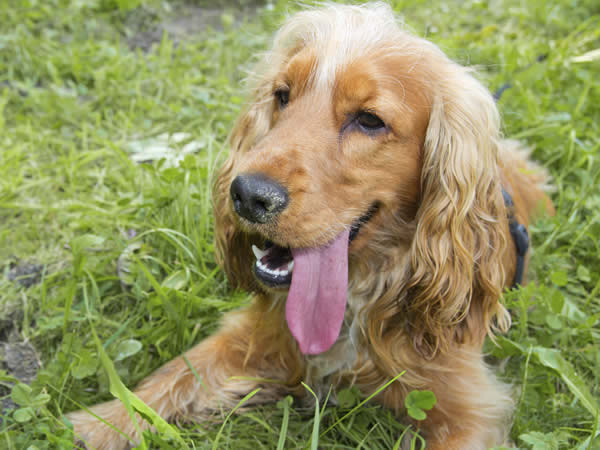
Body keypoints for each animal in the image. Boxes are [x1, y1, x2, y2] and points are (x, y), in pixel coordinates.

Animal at [69, 4, 552, 450]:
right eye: (282, 95)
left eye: (370, 120)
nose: (247, 195)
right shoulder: (260, 334)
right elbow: (177, 372)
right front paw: (101, 422)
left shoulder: (468, 407)